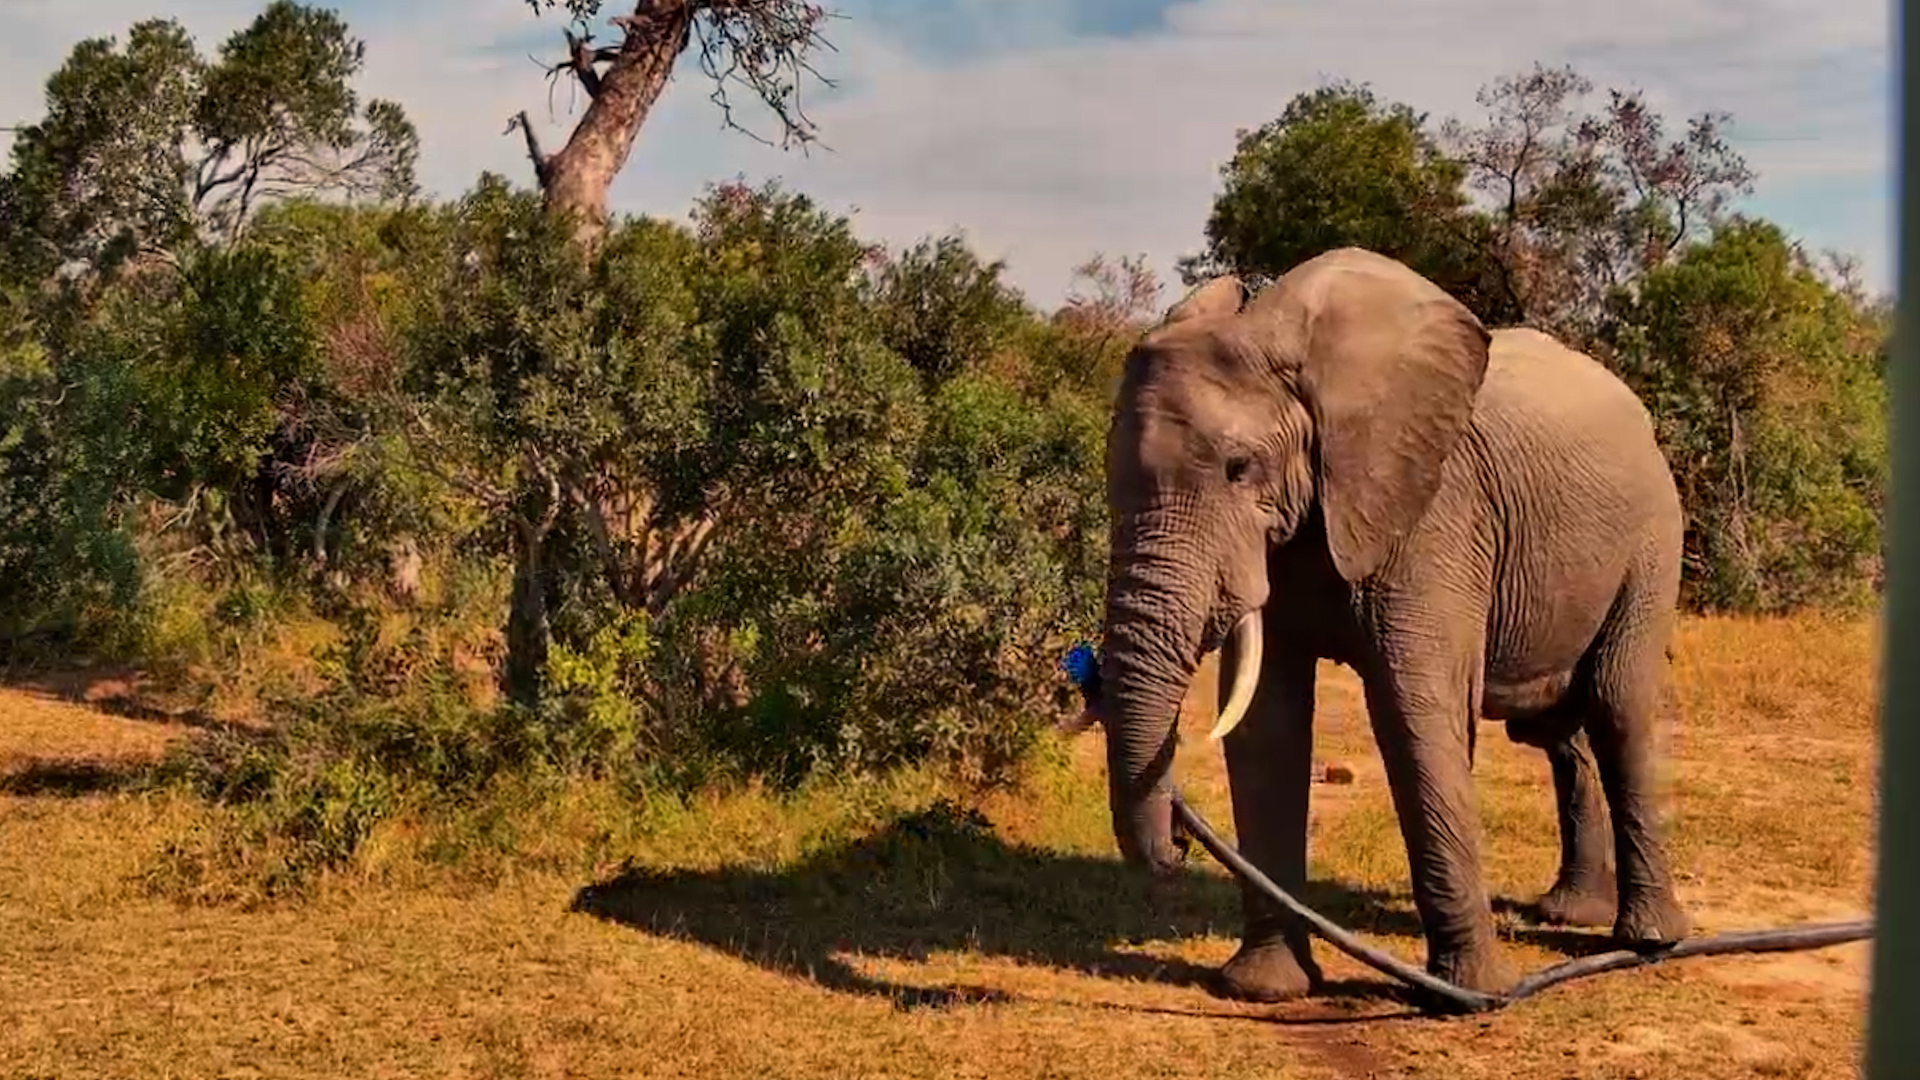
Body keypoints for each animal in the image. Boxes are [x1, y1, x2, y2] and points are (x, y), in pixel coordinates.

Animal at [1080, 247, 1691, 1002]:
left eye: (1239, 468)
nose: (1179, 843)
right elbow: (1267, 727)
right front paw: (1264, 990)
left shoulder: (1436, 513)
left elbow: (1414, 711)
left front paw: (1470, 997)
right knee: (1558, 732)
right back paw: (1568, 911)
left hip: (1653, 538)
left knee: (1617, 704)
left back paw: (1650, 941)